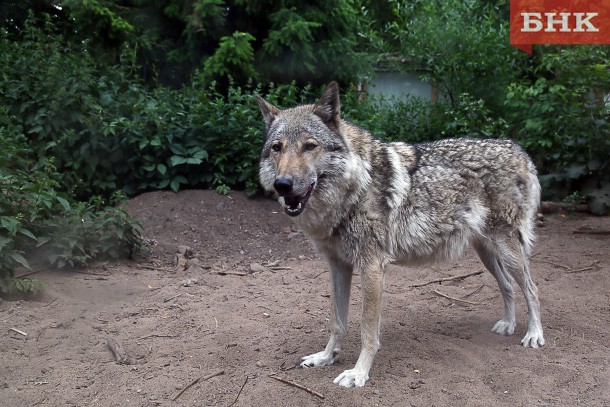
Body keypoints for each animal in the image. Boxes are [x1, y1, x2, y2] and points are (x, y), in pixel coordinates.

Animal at [254, 82, 544, 388]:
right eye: (277, 148)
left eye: (310, 146)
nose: (283, 184)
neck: (354, 189)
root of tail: (519, 150)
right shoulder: (338, 266)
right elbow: (337, 322)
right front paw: (326, 357)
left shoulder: (372, 267)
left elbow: (367, 329)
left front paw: (359, 373)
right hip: (488, 254)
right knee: (508, 285)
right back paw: (508, 325)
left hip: (508, 250)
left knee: (532, 288)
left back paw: (534, 335)